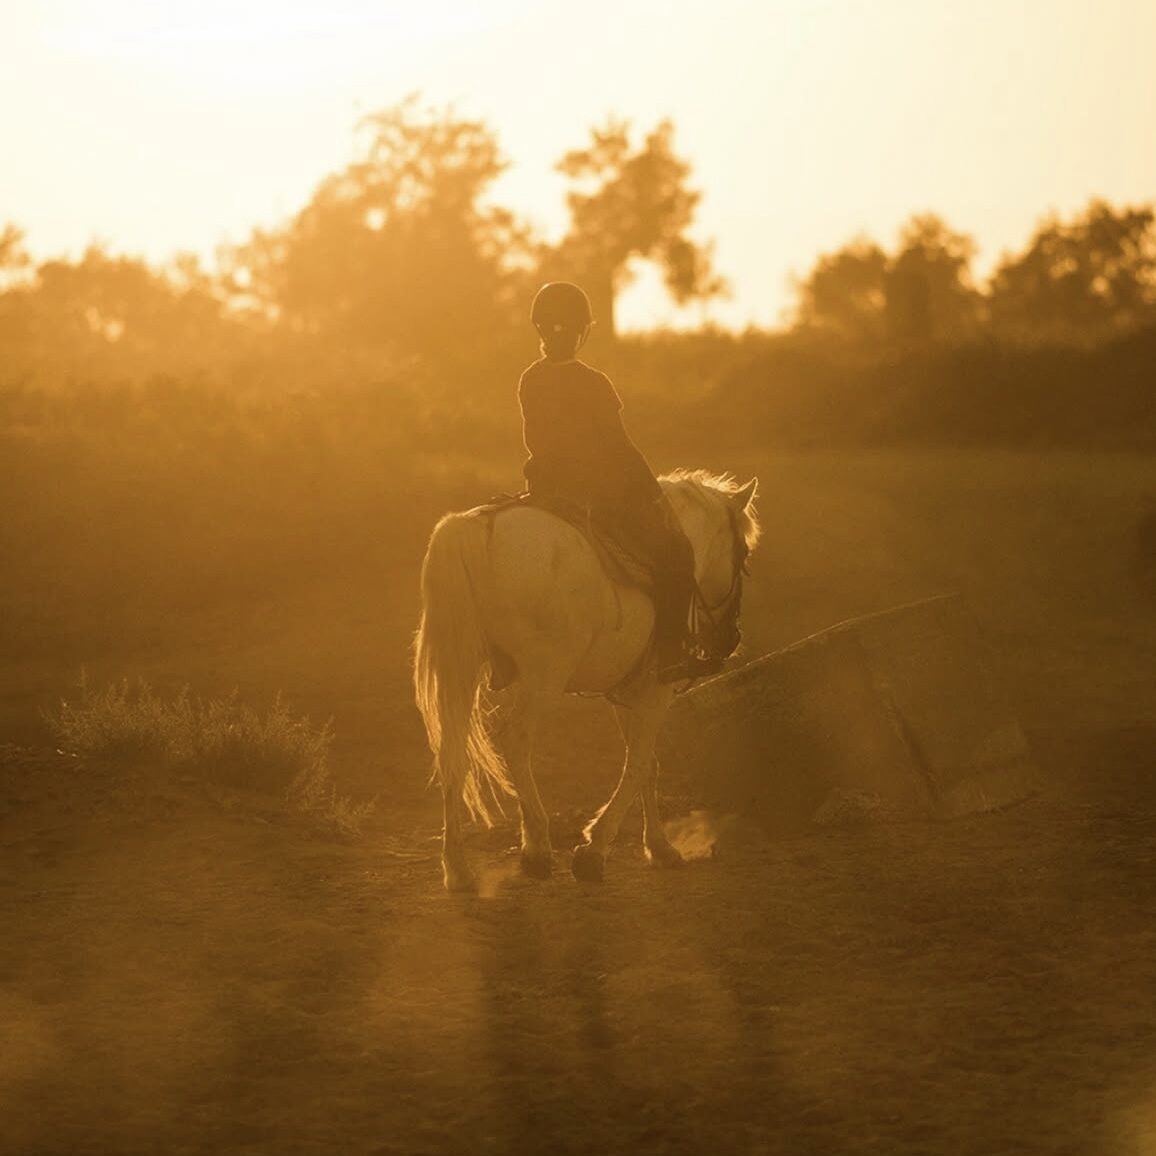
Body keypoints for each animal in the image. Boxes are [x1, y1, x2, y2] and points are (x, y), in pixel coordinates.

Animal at [413, 470, 760, 892]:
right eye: (743, 554)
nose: (731, 639)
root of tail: (477, 528)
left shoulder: (627, 691)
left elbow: (647, 765)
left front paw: (659, 848)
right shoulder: (654, 691)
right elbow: (638, 765)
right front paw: (594, 850)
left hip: (463, 671)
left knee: (452, 753)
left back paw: (458, 869)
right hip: (542, 676)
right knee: (516, 741)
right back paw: (536, 848)